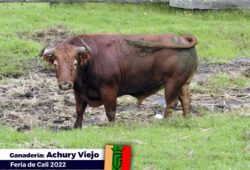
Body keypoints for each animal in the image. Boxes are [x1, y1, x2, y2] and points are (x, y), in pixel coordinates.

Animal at [40, 33, 198, 128]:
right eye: (55, 64)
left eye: (75, 63)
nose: (65, 84)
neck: (91, 60)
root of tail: (181, 38)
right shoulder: (79, 93)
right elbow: (79, 110)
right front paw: (76, 127)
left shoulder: (109, 90)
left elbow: (110, 111)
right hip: (183, 84)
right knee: (185, 101)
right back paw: (186, 120)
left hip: (172, 83)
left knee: (171, 103)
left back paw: (164, 123)